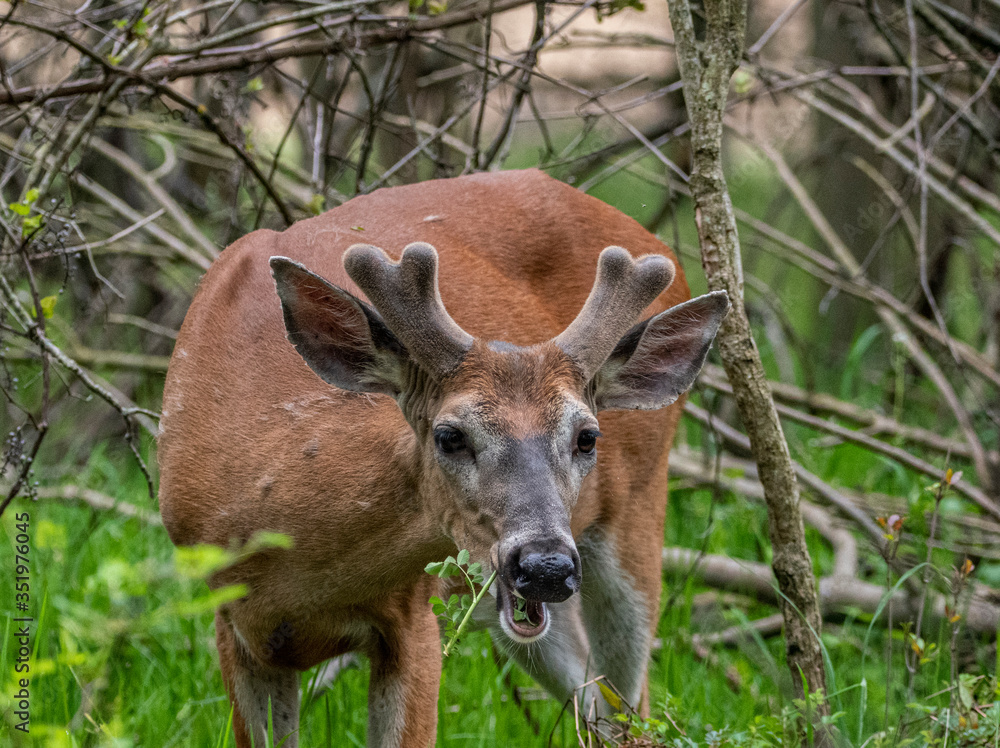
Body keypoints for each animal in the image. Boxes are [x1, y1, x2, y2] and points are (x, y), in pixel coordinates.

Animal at [157, 169, 729, 747]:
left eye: (587, 437)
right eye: (449, 436)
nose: (545, 565)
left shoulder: (414, 615)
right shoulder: (234, 625)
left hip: (634, 516)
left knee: (632, 709)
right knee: (592, 698)